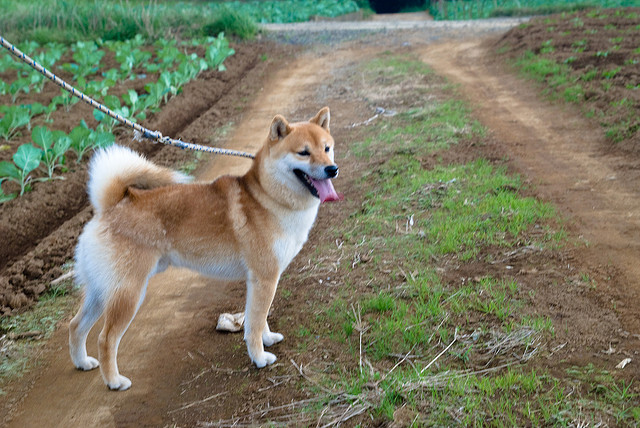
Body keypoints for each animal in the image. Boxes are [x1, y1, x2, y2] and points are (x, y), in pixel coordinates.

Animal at [69, 108, 340, 392]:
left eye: (327, 148)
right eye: (303, 152)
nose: (332, 169)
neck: (266, 198)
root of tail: (109, 208)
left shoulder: (258, 280)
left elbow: (259, 317)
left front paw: (267, 339)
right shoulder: (266, 278)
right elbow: (254, 324)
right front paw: (259, 357)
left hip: (101, 291)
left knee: (76, 326)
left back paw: (82, 362)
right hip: (128, 293)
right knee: (105, 339)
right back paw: (114, 381)